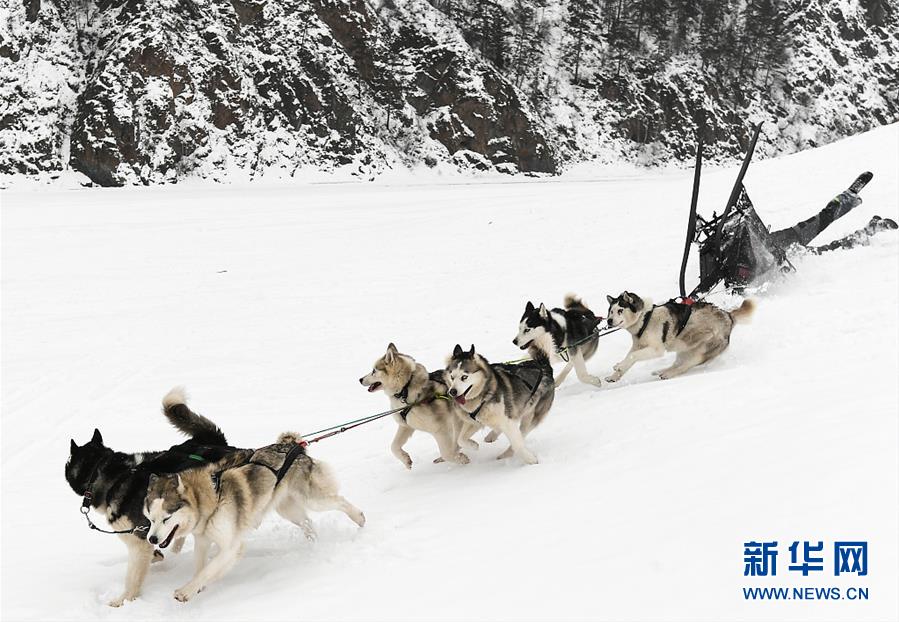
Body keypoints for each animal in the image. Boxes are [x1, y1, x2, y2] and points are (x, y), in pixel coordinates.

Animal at [144, 433, 365, 602]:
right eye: (151, 519)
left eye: (166, 518)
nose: (152, 539)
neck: (213, 495)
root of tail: (292, 445)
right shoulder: (203, 541)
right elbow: (201, 569)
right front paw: (197, 586)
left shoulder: (231, 547)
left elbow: (208, 570)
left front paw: (186, 591)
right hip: (288, 509)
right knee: (308, 523)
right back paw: (314, 544)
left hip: (312, 499)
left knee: (339, 501)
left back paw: (359, 518)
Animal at [604, 292, 755, 381]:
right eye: (610, 311)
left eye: (620, 310)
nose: (609, 321)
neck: (645, 317)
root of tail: (729, 316)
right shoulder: (638, 346)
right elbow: (630, 357)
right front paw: (615, 374)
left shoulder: (656, 350)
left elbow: (632, 356)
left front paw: (618, 366)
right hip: (685, 348)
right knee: (677, 363)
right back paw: (660, 371)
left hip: (701, 352)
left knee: (684, 366)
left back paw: (667, 374)